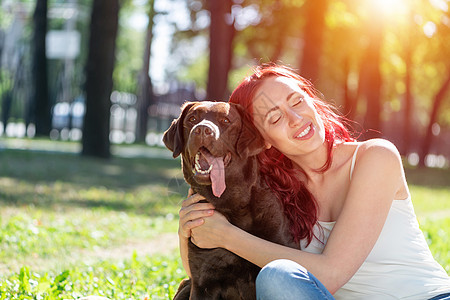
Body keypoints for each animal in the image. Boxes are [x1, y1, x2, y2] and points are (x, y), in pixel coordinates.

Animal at [163, 101, 294, 300]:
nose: (201, 130)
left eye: (225, 120)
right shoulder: (201, 282)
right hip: (186, 284)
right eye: (192, 119)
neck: (231, 204)